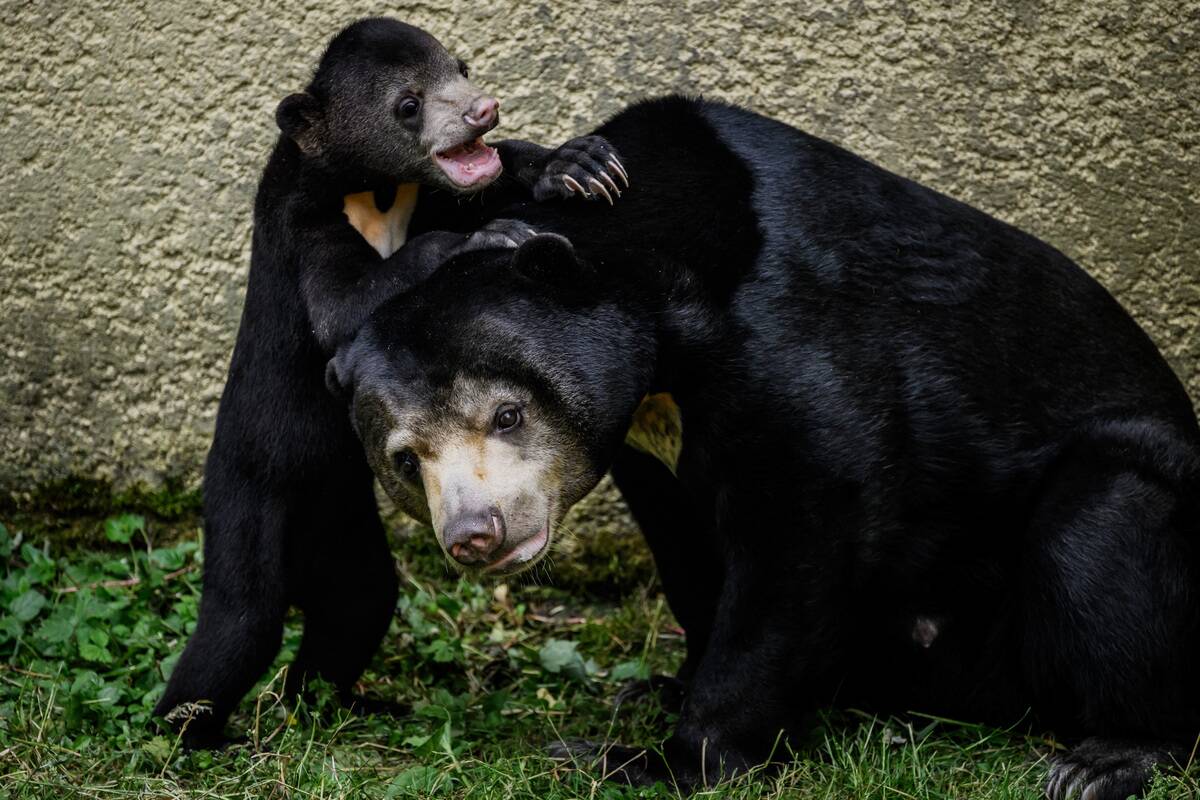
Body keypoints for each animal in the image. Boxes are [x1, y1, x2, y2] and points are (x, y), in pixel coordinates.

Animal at [153, 16, 627, 749]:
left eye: (461, 68)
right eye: (408, 105)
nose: (483, 110)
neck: (372, 187)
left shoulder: (426, 191)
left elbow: (493, 180)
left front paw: (581, 166)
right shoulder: (300, 221)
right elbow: (342, 303)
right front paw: (494, 234)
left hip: (344, 522)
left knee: (360, 601)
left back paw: (339, 704)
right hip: (251, 496)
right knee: (239, 624)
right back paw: (189, 734)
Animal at [325, 95, 1200, 800]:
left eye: (507, 415)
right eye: (404, 459)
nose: (476, 535)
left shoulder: (791, 340)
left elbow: (802, 524)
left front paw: (655, 760)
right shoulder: (650, 446)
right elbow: (686, 545)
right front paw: (661, 692)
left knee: (1101, 523)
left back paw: (1109, 757)